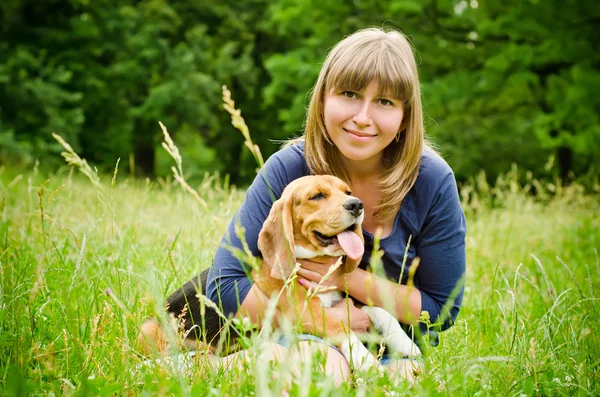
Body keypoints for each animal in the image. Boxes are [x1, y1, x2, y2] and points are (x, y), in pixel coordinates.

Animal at [139, 174, 422, 374]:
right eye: (317, 196)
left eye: (347, 192)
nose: (356, 205)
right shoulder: (306, 312)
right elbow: (341, 327)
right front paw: (366, 362)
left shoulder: (342, 300)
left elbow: (378, 309)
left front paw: (406, 343)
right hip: (149, 329)